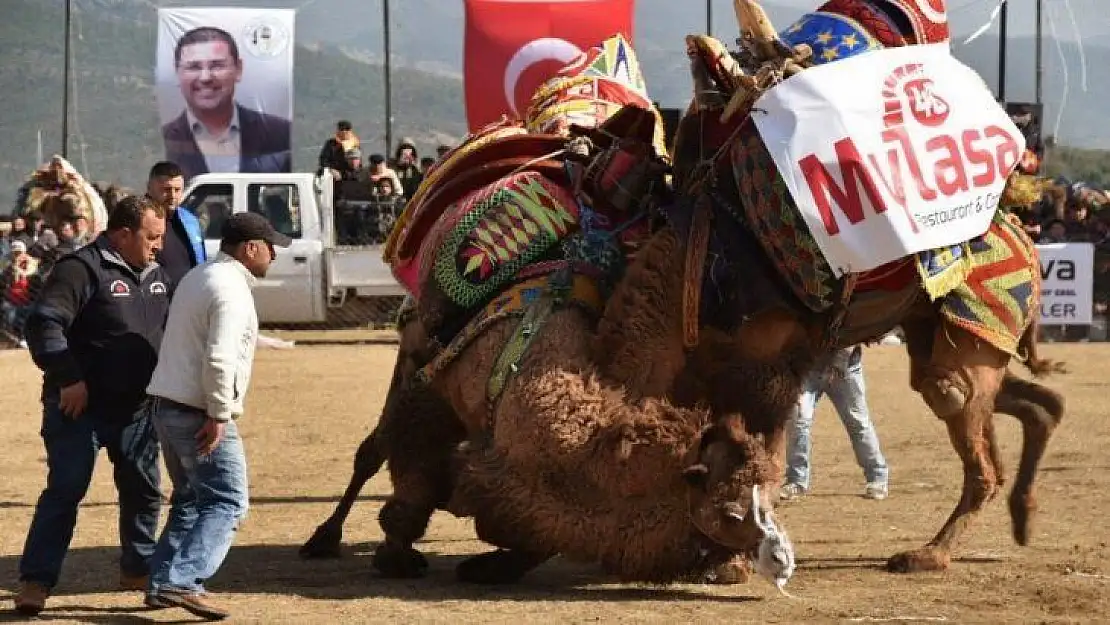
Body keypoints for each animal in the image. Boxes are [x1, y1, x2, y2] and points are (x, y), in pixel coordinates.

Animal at [299, 35, 794, 590]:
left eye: (773, 497)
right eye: (732, 513)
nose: (781, 558)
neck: (528, 372)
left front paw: (487, 563)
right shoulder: (436, 388)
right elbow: (411, 474)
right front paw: (396, 553)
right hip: (417, 335)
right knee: (374, 445)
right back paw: (323, 537)